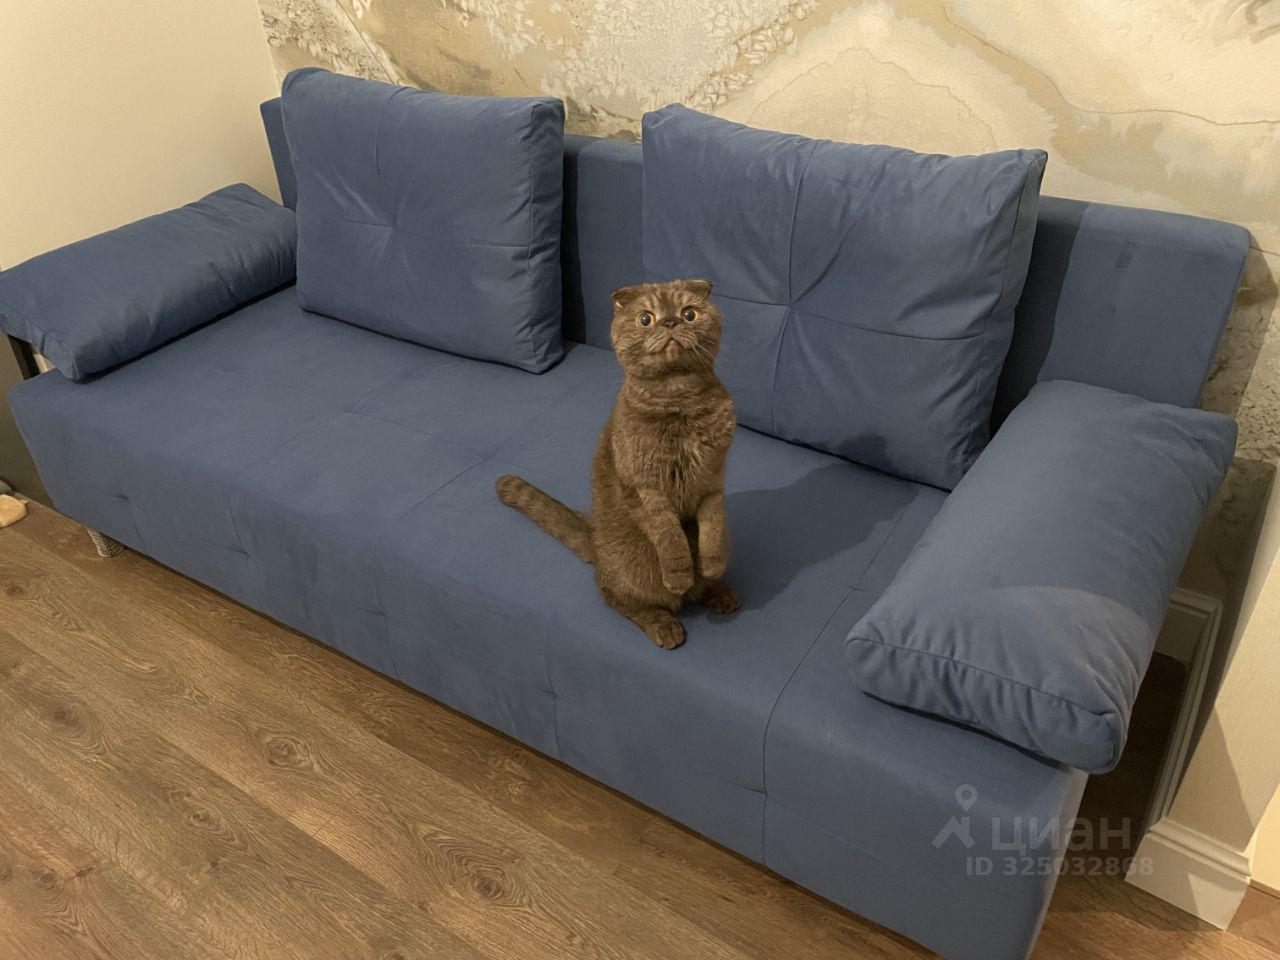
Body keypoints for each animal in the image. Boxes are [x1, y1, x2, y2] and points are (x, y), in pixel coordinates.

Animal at [496, 278, 739, 649]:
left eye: (689, 313)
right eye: (646, 319)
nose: (670, 322)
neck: (679, 403)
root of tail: (596, 543)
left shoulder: (712, 480)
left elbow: (713, 528)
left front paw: (712, 566)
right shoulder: (644, 489)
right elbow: (670, 537)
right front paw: (680, 574)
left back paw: (720, 592)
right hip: (632, 573)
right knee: (621, 599)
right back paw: (666, 625)